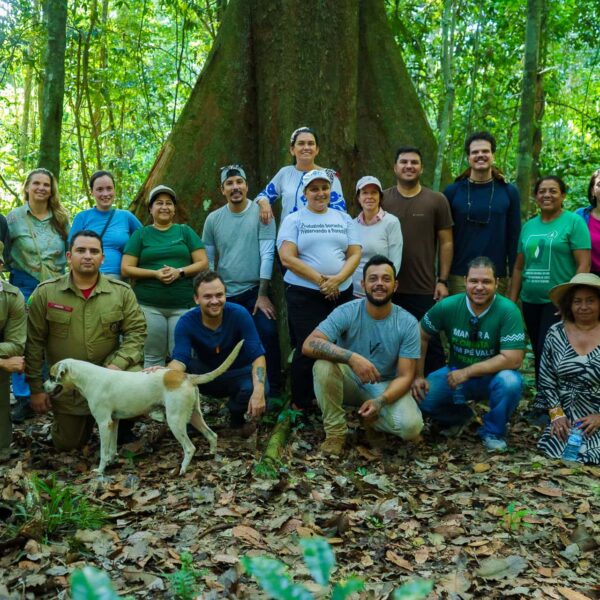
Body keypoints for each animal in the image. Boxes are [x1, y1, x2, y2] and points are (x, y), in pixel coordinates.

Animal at [44, 342, 244, 474]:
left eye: (51, 376)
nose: (43, 387)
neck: (89, 377)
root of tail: (186, 376)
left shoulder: (103, 423)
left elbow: (103, 452)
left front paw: (100, 470)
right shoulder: (113, 422)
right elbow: (111, 448)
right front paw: (112, 461)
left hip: (175, 421)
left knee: (190, 447)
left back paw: (183, 469)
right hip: (194, 416)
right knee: (212, 435)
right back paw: (211, 455)